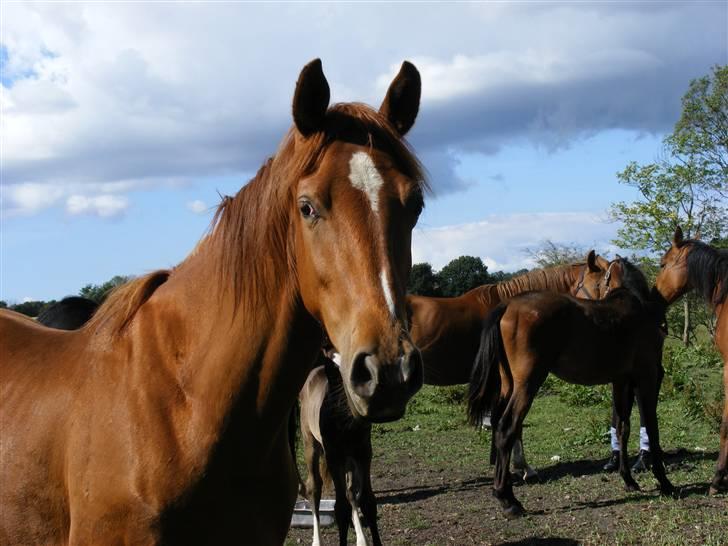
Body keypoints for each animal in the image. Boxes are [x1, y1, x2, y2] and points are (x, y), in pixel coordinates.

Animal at [300, 352, 382, 544]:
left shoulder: (363, 453)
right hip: (311, 445)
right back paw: (317, 541)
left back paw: (361, 538)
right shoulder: (334, 457)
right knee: (314, 488)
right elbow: (340, 508)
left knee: (351, 492)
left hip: (349, 460)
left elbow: (367, 501)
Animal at [470, 258, 672, 516]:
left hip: (509, 385)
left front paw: (628, 480)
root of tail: (508, 305)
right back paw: (509, 500)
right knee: (507, 428)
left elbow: (622, 427)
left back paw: (503, 491)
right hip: (527, 384)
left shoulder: (621, 381)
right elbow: (652, 430)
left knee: (497, 426)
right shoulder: (646, 377)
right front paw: (665, 482)